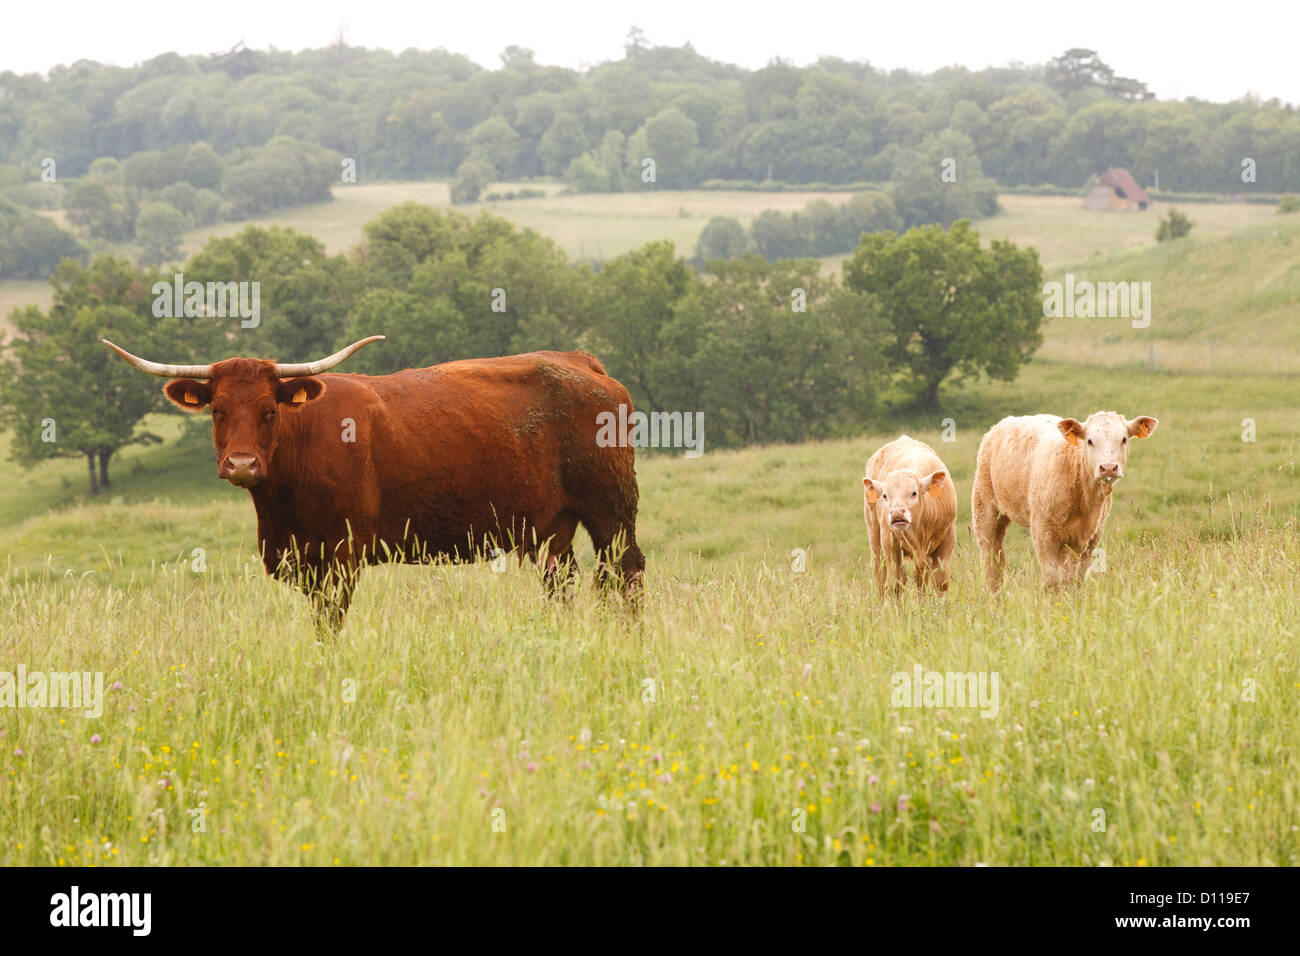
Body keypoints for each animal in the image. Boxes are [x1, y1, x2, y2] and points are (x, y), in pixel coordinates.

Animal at [102, 335, 644, 629]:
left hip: (612, 509)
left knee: (627, 572)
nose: (241, 465)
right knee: (564, 581)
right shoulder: (302, 559)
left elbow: (332, 620)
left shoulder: (344, 553)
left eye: (269, 410)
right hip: (552, 526)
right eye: (216, 411)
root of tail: (579, 361)